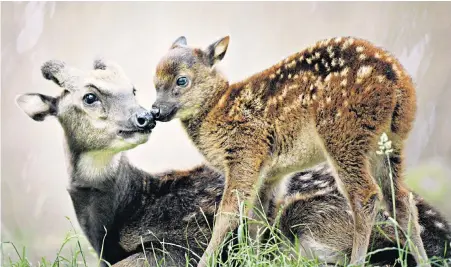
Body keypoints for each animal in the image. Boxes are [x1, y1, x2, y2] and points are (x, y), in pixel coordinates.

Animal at [15, 59, 450, 267]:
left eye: (132, 89)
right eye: (89, 96)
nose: (145, 118)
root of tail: (442, 237)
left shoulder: (179, 240)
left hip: (306, 222)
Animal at [150, 35, 430, 266]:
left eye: (182, 80)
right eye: (154, 82)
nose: (154, 111)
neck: (217, 110)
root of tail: (399, 82)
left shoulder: (244, 152)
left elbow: (229, 213)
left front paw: (207, 261)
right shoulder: (270, 171)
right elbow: (259, 216)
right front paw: (254, 259)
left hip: (344, 134)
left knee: (366, 195)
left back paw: (356, 261)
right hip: (388, 143)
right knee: (400, 198)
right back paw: (423, 260)